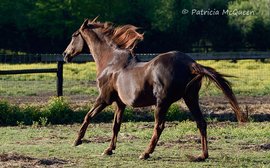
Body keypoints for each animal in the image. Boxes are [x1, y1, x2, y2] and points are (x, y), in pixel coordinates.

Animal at [62, 17, 247, 161]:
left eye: (74, 35)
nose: (65, 55)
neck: (111, 61)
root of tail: (190, 63)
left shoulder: (104, 98)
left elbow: (88, 116)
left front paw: (77, 141)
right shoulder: (120, 104)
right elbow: (116, 125)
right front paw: (108, 149)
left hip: (162, 102)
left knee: (159, 126)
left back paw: (145, 153)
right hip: (190, 98)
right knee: (201, 122)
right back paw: (202, 155)